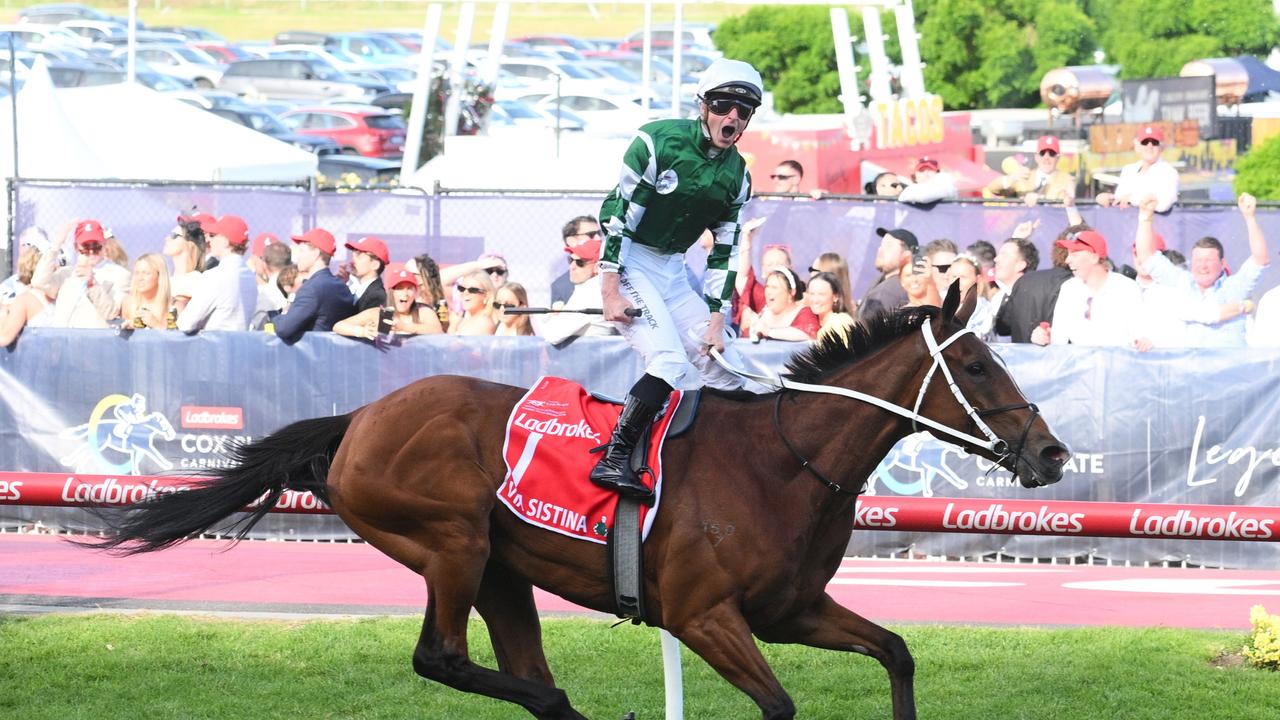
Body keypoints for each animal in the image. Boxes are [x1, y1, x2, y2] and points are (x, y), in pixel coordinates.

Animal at [85, 285, 1070, 717]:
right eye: (979, 365)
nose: (1053, 452)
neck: (782, 463)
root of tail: (362, 414)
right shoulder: (704, 616)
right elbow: (782, 706)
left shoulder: (789, 609)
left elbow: (897, 651)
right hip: (451, 544)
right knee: (445, 659)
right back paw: (563, 708)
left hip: (502, 570)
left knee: (515, 668)